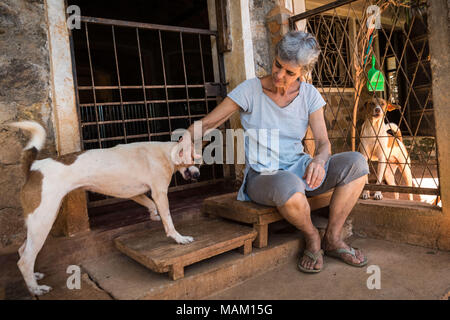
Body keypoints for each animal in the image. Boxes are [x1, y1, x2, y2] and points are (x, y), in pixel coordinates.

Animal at [9, 120, 200, 296]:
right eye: (193, 160)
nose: (198, 175)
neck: (167, 153)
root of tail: (33, 167)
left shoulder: (133, 193)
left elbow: (150, 204)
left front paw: (153, 214)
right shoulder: (160, 193)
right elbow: (168, 219)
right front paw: (179, 238)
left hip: (42, 220)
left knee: (23, 250)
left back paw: (34, 277)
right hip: (43, 221)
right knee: (25, 260)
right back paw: (35, 288)